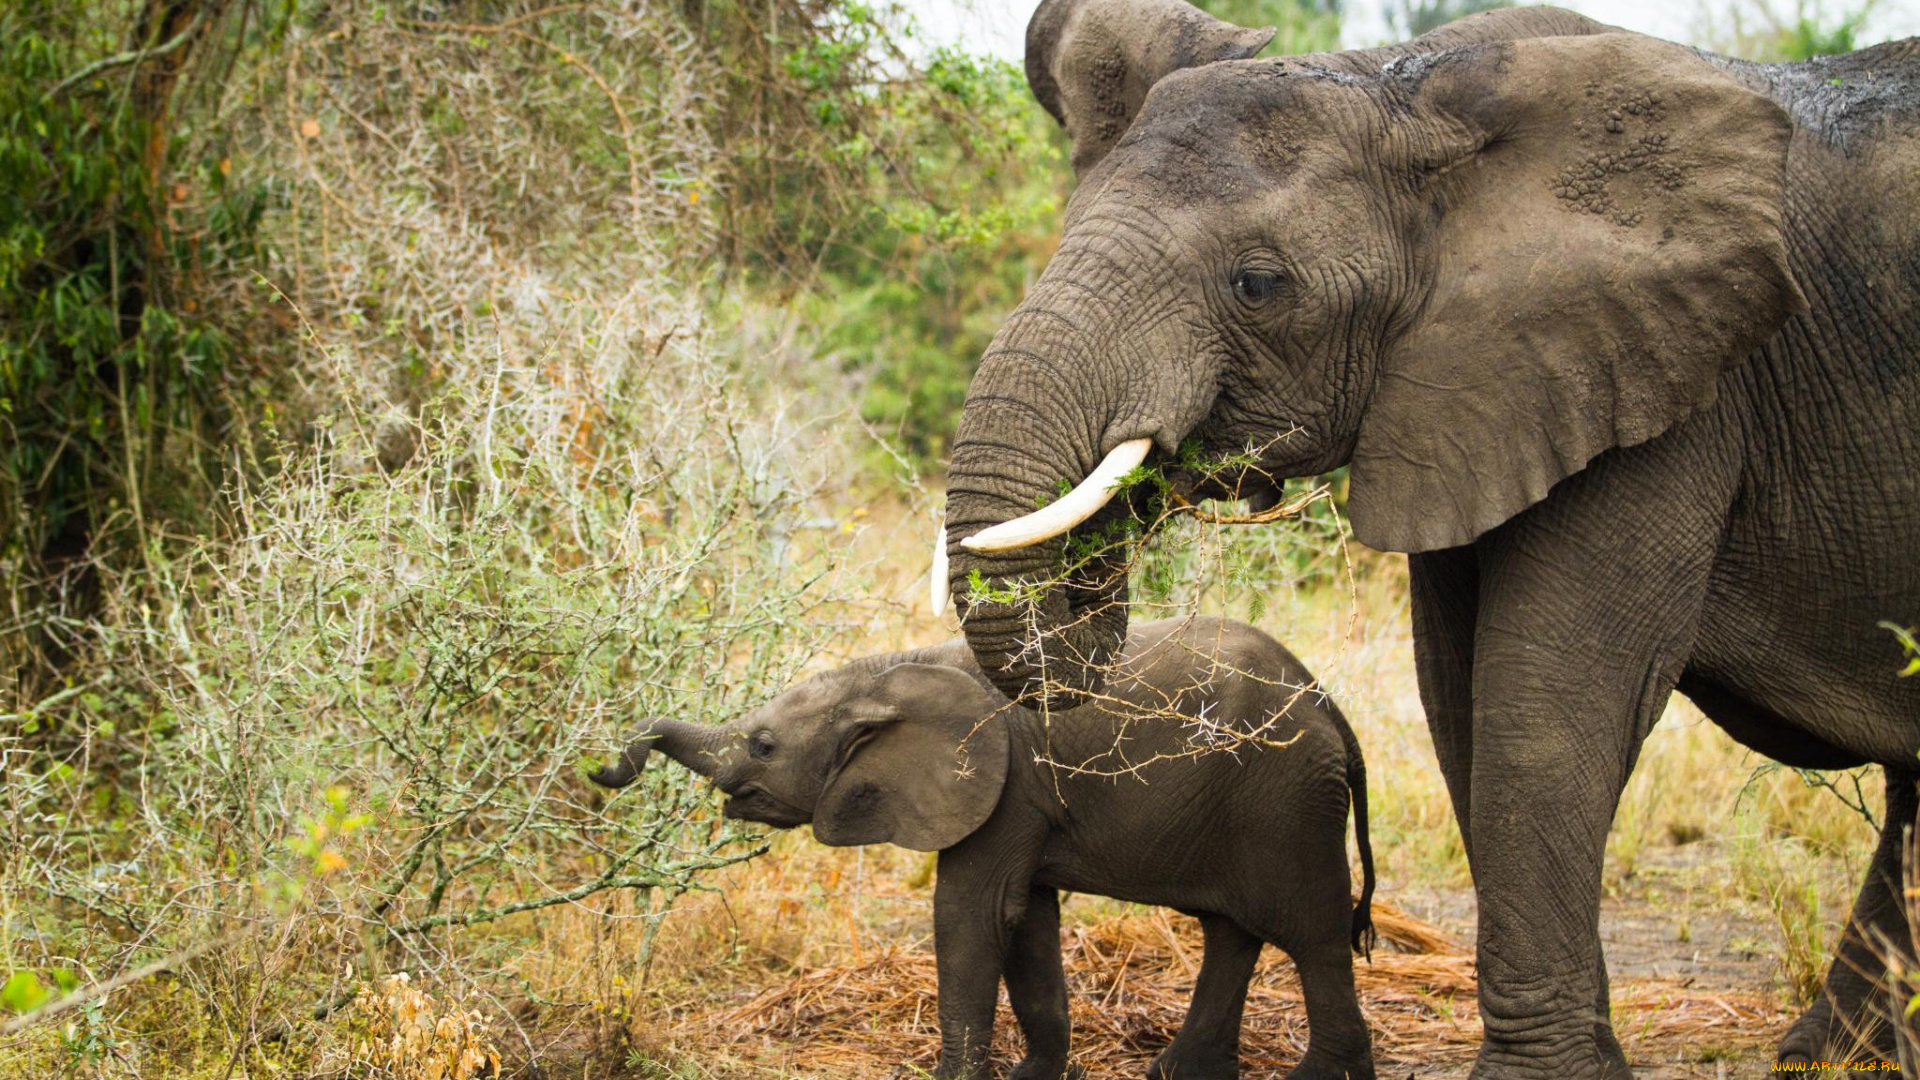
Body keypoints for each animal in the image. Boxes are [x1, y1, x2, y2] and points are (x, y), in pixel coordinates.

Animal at [591, 614, 1374, 1076]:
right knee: (1230, 931)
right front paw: (1034, 1078)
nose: (602, 770)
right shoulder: (1018, 796)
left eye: (762, 745)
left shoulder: (1000, 780)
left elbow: (973, 918)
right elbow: (1025, 921)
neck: (886, 671)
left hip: (1289, 801)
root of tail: (1327, 702)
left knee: (1314, 935)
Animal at [940, 4, 1920, 1068]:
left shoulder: (1672, 386)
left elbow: (1543, 707)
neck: (1407, 87)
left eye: (1257, 285)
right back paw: (1831, 1053)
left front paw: (1544, 1077)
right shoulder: (1486, 384)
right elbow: (1460, 701)